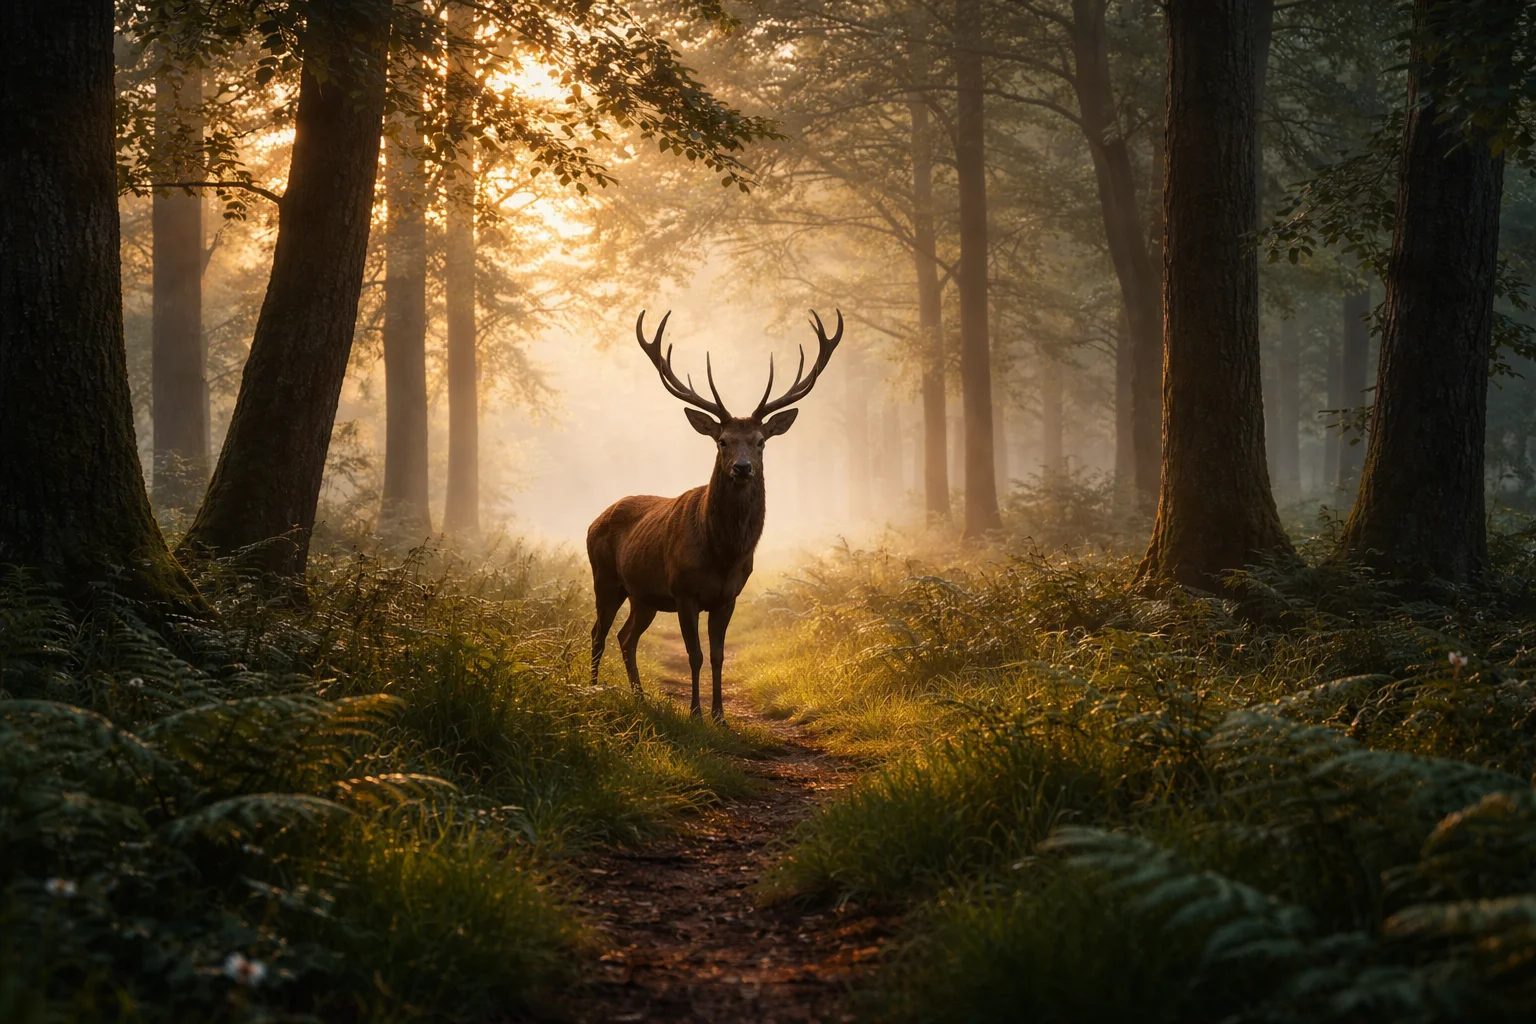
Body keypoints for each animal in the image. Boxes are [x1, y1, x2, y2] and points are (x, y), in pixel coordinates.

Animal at [586, 308, 843, 720]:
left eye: (760, 441)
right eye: (722, 440)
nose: (742, 468)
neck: (722, 554)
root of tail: (595, 519)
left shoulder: (728, 596)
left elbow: (719, 656)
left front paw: (720, 715)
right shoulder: (683, 590)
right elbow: (695, 655)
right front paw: (695, 712)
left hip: (644, 596)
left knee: (626, 637)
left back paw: (639, 696)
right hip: (605, 577)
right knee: (598, 633)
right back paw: (593, 687)